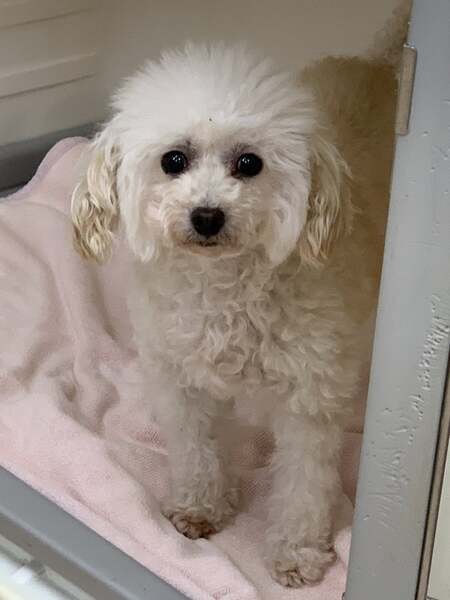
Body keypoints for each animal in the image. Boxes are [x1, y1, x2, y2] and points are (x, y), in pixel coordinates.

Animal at [71, 2, 409, 587]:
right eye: (173, 160)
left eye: (249, 163)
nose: (207, 216)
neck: (225, 290)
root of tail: (380, 63)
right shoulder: (182, 380)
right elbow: (195, 448)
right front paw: (199, 509)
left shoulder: (309, 399)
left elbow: (304, 482)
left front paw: (297, 553)